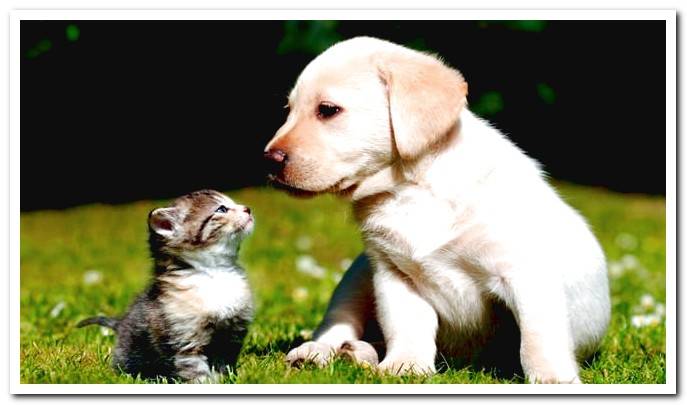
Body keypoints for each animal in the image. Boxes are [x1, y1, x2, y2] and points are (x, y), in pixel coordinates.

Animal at [78, 189, 255, 382]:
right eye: (221, 209)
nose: (248, 208)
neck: (215, 273)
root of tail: (120, 322)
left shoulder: (231, 336)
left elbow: (224, 365)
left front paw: (226, 380)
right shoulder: (185, 342)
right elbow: (196, 371)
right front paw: (206, 382)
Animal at [264, 37, 612, 382]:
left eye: (328, 110)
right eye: (289, 111)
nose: (269, 160)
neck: (410, 190)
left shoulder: (524, 272)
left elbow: (537, 338)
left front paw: (552, 378)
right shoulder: (395, 275)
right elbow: (407, 327)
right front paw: (405, 366)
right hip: (357, 275)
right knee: (338, 323)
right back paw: (320, 353)